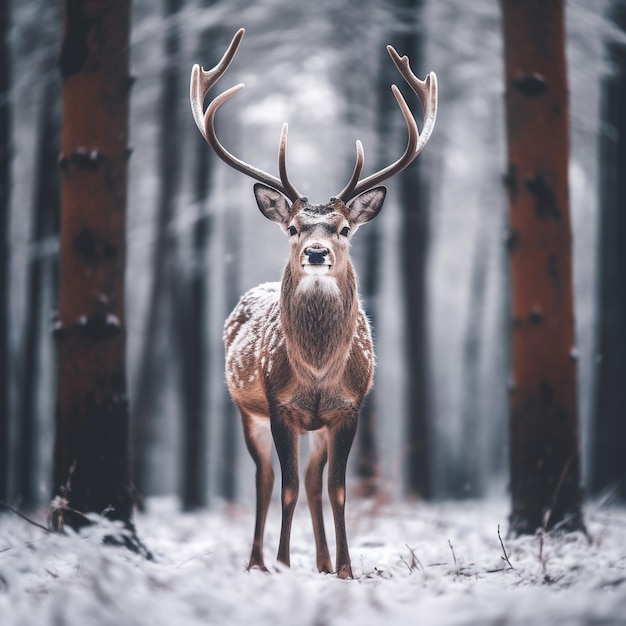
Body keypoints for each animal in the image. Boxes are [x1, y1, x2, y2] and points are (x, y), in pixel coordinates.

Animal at [188, 28, 436, 576]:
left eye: (343, 228)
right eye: (294, 228)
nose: (317, 252)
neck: (319, 373)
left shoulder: (350, 408)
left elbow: (339, 490)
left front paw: (344, 569)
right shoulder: (279, 406)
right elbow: (285, 489)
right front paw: (282, 564)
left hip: (316, 427)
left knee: (316, 481)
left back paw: (321, 562)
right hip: (248, 411)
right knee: (264, 480)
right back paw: (257, 563)